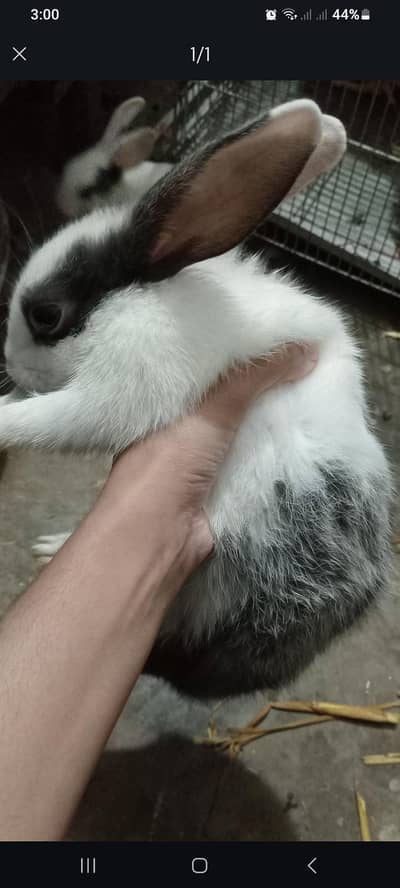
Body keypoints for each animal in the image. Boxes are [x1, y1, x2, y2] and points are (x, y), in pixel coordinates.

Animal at [2, 98, 392, 699]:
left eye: (47, 315)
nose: (9, 364)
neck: (140, 296)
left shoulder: (127, 380)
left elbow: (52, 419)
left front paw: (3, 415)